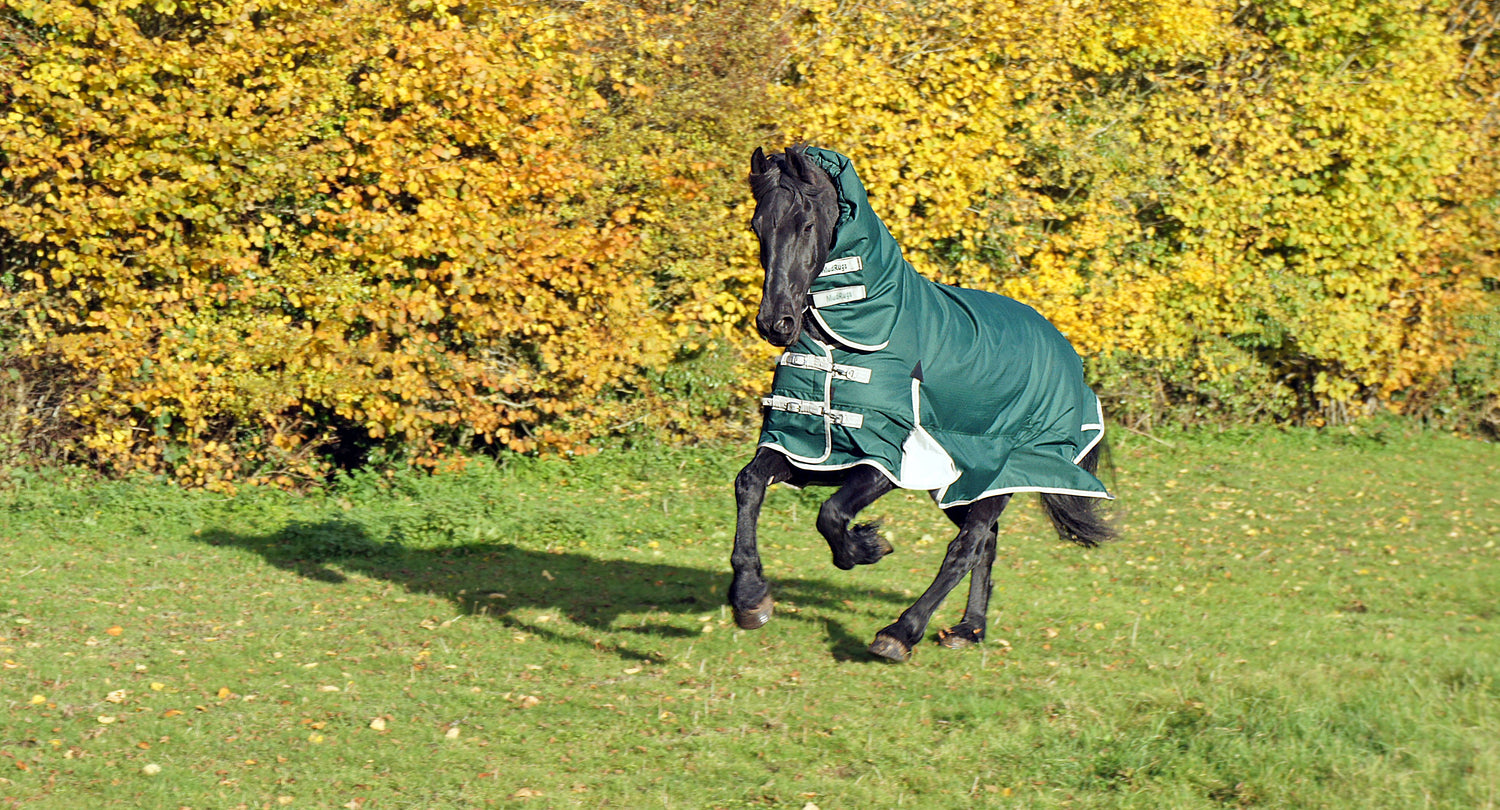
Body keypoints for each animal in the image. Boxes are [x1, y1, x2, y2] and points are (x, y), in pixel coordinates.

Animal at [729, 145, 1117, 662]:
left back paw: (901, 632)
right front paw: (750, 597)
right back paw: (969, 628)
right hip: (962, 482)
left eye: (806, 224)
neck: (853, 337)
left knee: (967, 546)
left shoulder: (883, 459)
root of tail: (1067, 353)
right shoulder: (810, 448)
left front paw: (867, 547)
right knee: (985, 541)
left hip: (1004, 470)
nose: (776, 323)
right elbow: (749, 484)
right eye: (757, 226)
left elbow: (831, 514)